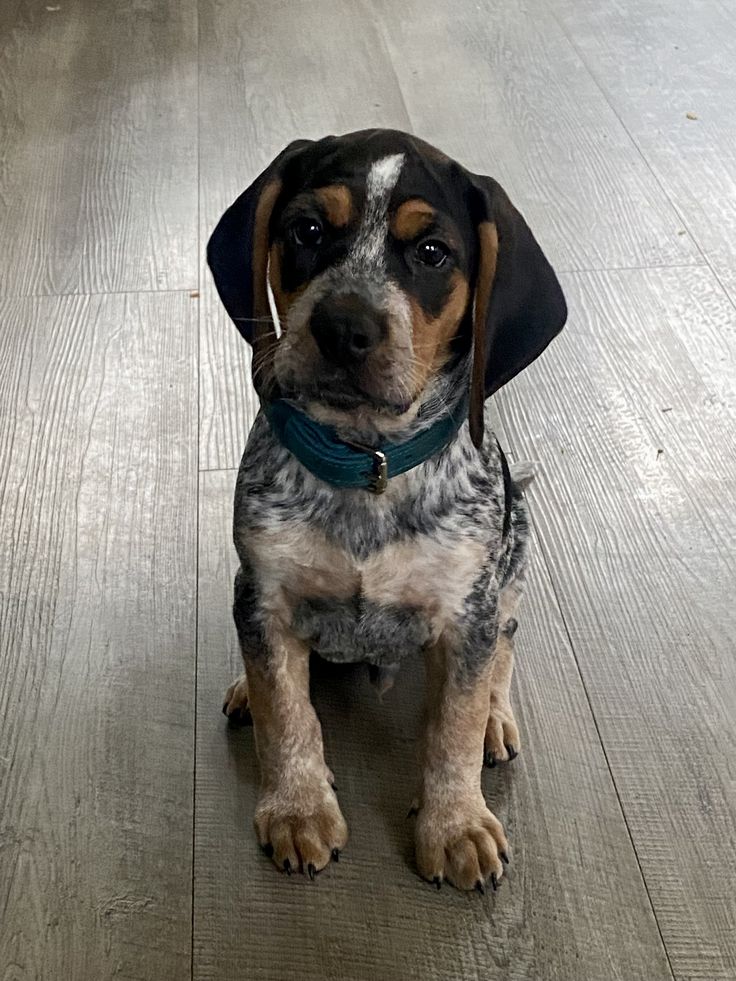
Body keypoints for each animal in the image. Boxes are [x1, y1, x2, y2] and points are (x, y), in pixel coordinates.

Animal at [210, 128, 568, 888]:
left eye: (432, 253)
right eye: (306, 231)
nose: (343, 326)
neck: (367, 467)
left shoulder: (468, 612)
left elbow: (451, 730)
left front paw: (456, 823)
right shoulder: (264, 595)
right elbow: (287, 712)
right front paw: (297, 808)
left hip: (515, 550)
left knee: (506, 647)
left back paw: (495, 718)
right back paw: (244, 689)